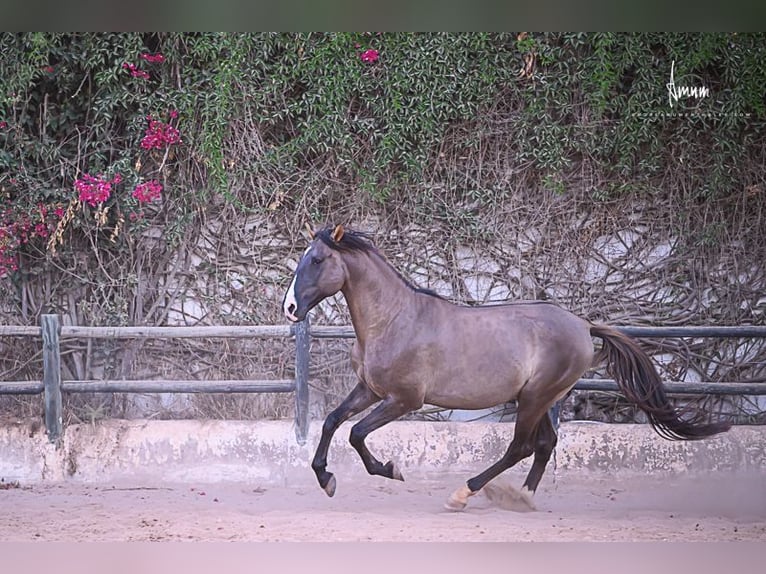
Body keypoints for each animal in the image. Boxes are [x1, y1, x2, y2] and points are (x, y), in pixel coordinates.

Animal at [282, 224, 731, 511]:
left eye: (317, 260)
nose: (289, 308)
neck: (393, 320)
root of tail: (584, 324)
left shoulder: (404, 400)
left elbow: (356, 432)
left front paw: (390, 470)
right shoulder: (370, 389)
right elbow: (332, 421)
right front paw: (326, 479)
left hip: (534, 397)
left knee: (522, 447)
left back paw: (465, 494)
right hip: (541, 397)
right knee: (545, 445)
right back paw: (523, 499)